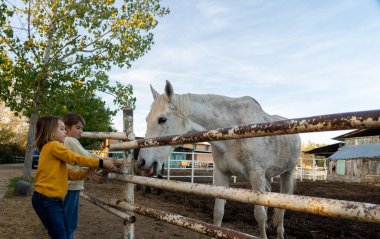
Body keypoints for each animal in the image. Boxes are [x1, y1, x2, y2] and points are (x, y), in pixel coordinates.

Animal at [137, 81, 300, 239]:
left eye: (162, 119)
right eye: (146, 119)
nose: (142, 162)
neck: (234, 131)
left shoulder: (256, 175)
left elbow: (259, 215)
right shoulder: (222, 173)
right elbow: (218, 213)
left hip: (287, 173)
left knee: (283, 203)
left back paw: (280, 232)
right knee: (269, 191)